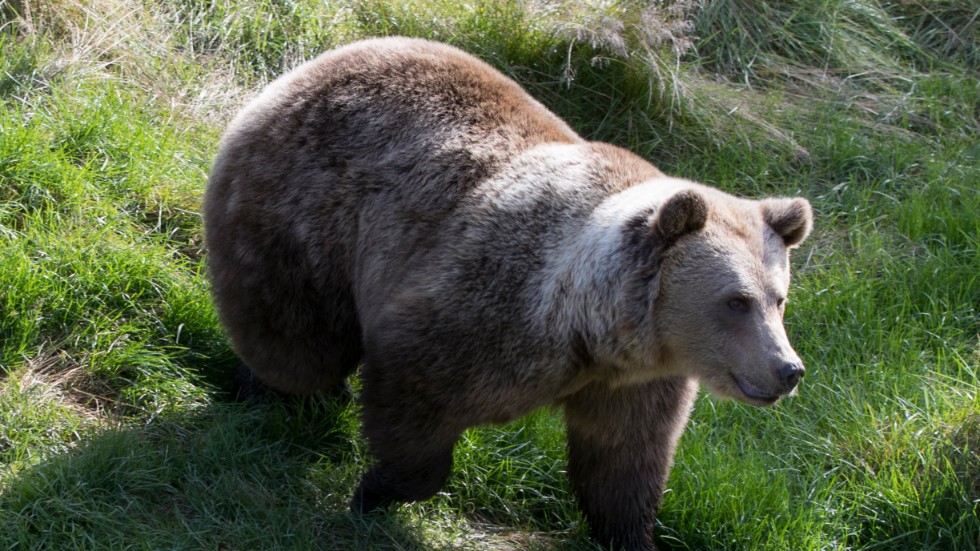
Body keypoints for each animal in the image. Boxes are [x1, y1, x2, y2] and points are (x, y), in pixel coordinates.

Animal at [203, 37, 816, 551]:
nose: (788, 369)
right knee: (297, 336)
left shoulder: (635, 382)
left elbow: (623, 461)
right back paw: (274, 391)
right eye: (735, 300)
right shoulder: (482, 308)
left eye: (778, 298)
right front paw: (375, 490)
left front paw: (631, 534)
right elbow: (414, 393)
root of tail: (317, 62)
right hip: (307, 207)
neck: (588, 328)